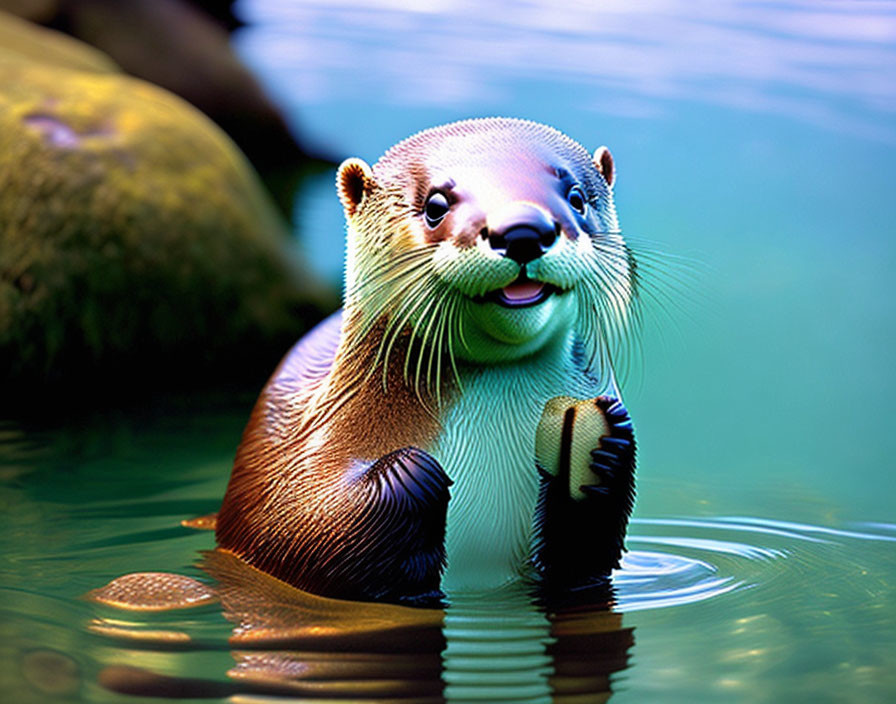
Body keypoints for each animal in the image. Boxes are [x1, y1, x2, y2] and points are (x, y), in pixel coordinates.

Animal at [217, 118, 636, 604]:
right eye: (436, 204)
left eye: (576, 197)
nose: (523, 230)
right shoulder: (296, 461)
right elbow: (298, 526)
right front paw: (411, 471)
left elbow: (586, 555)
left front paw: (604, 446)